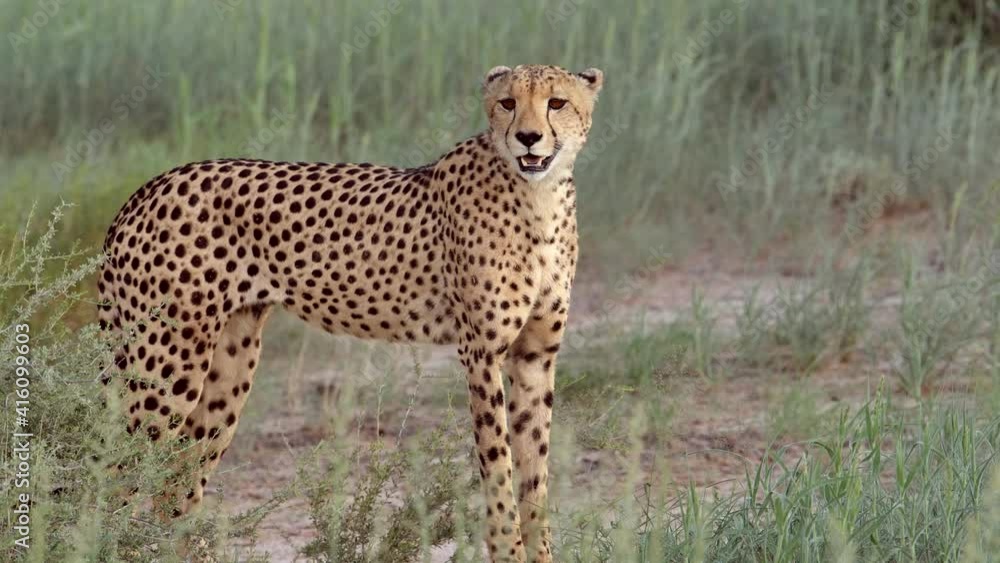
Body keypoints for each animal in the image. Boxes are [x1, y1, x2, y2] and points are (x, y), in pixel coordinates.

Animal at [98, 64, 604, 563]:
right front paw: (506, 548)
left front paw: (539, 551)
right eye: (507, 103)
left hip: (227, 367)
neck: (538, 198)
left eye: (556, 103)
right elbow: (497, 460)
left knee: (172, 486)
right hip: (167, 364)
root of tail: (151, 186)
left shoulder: (535, 355)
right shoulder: (481, 353)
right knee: (108, 475)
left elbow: (534, 467)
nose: (528, 138)